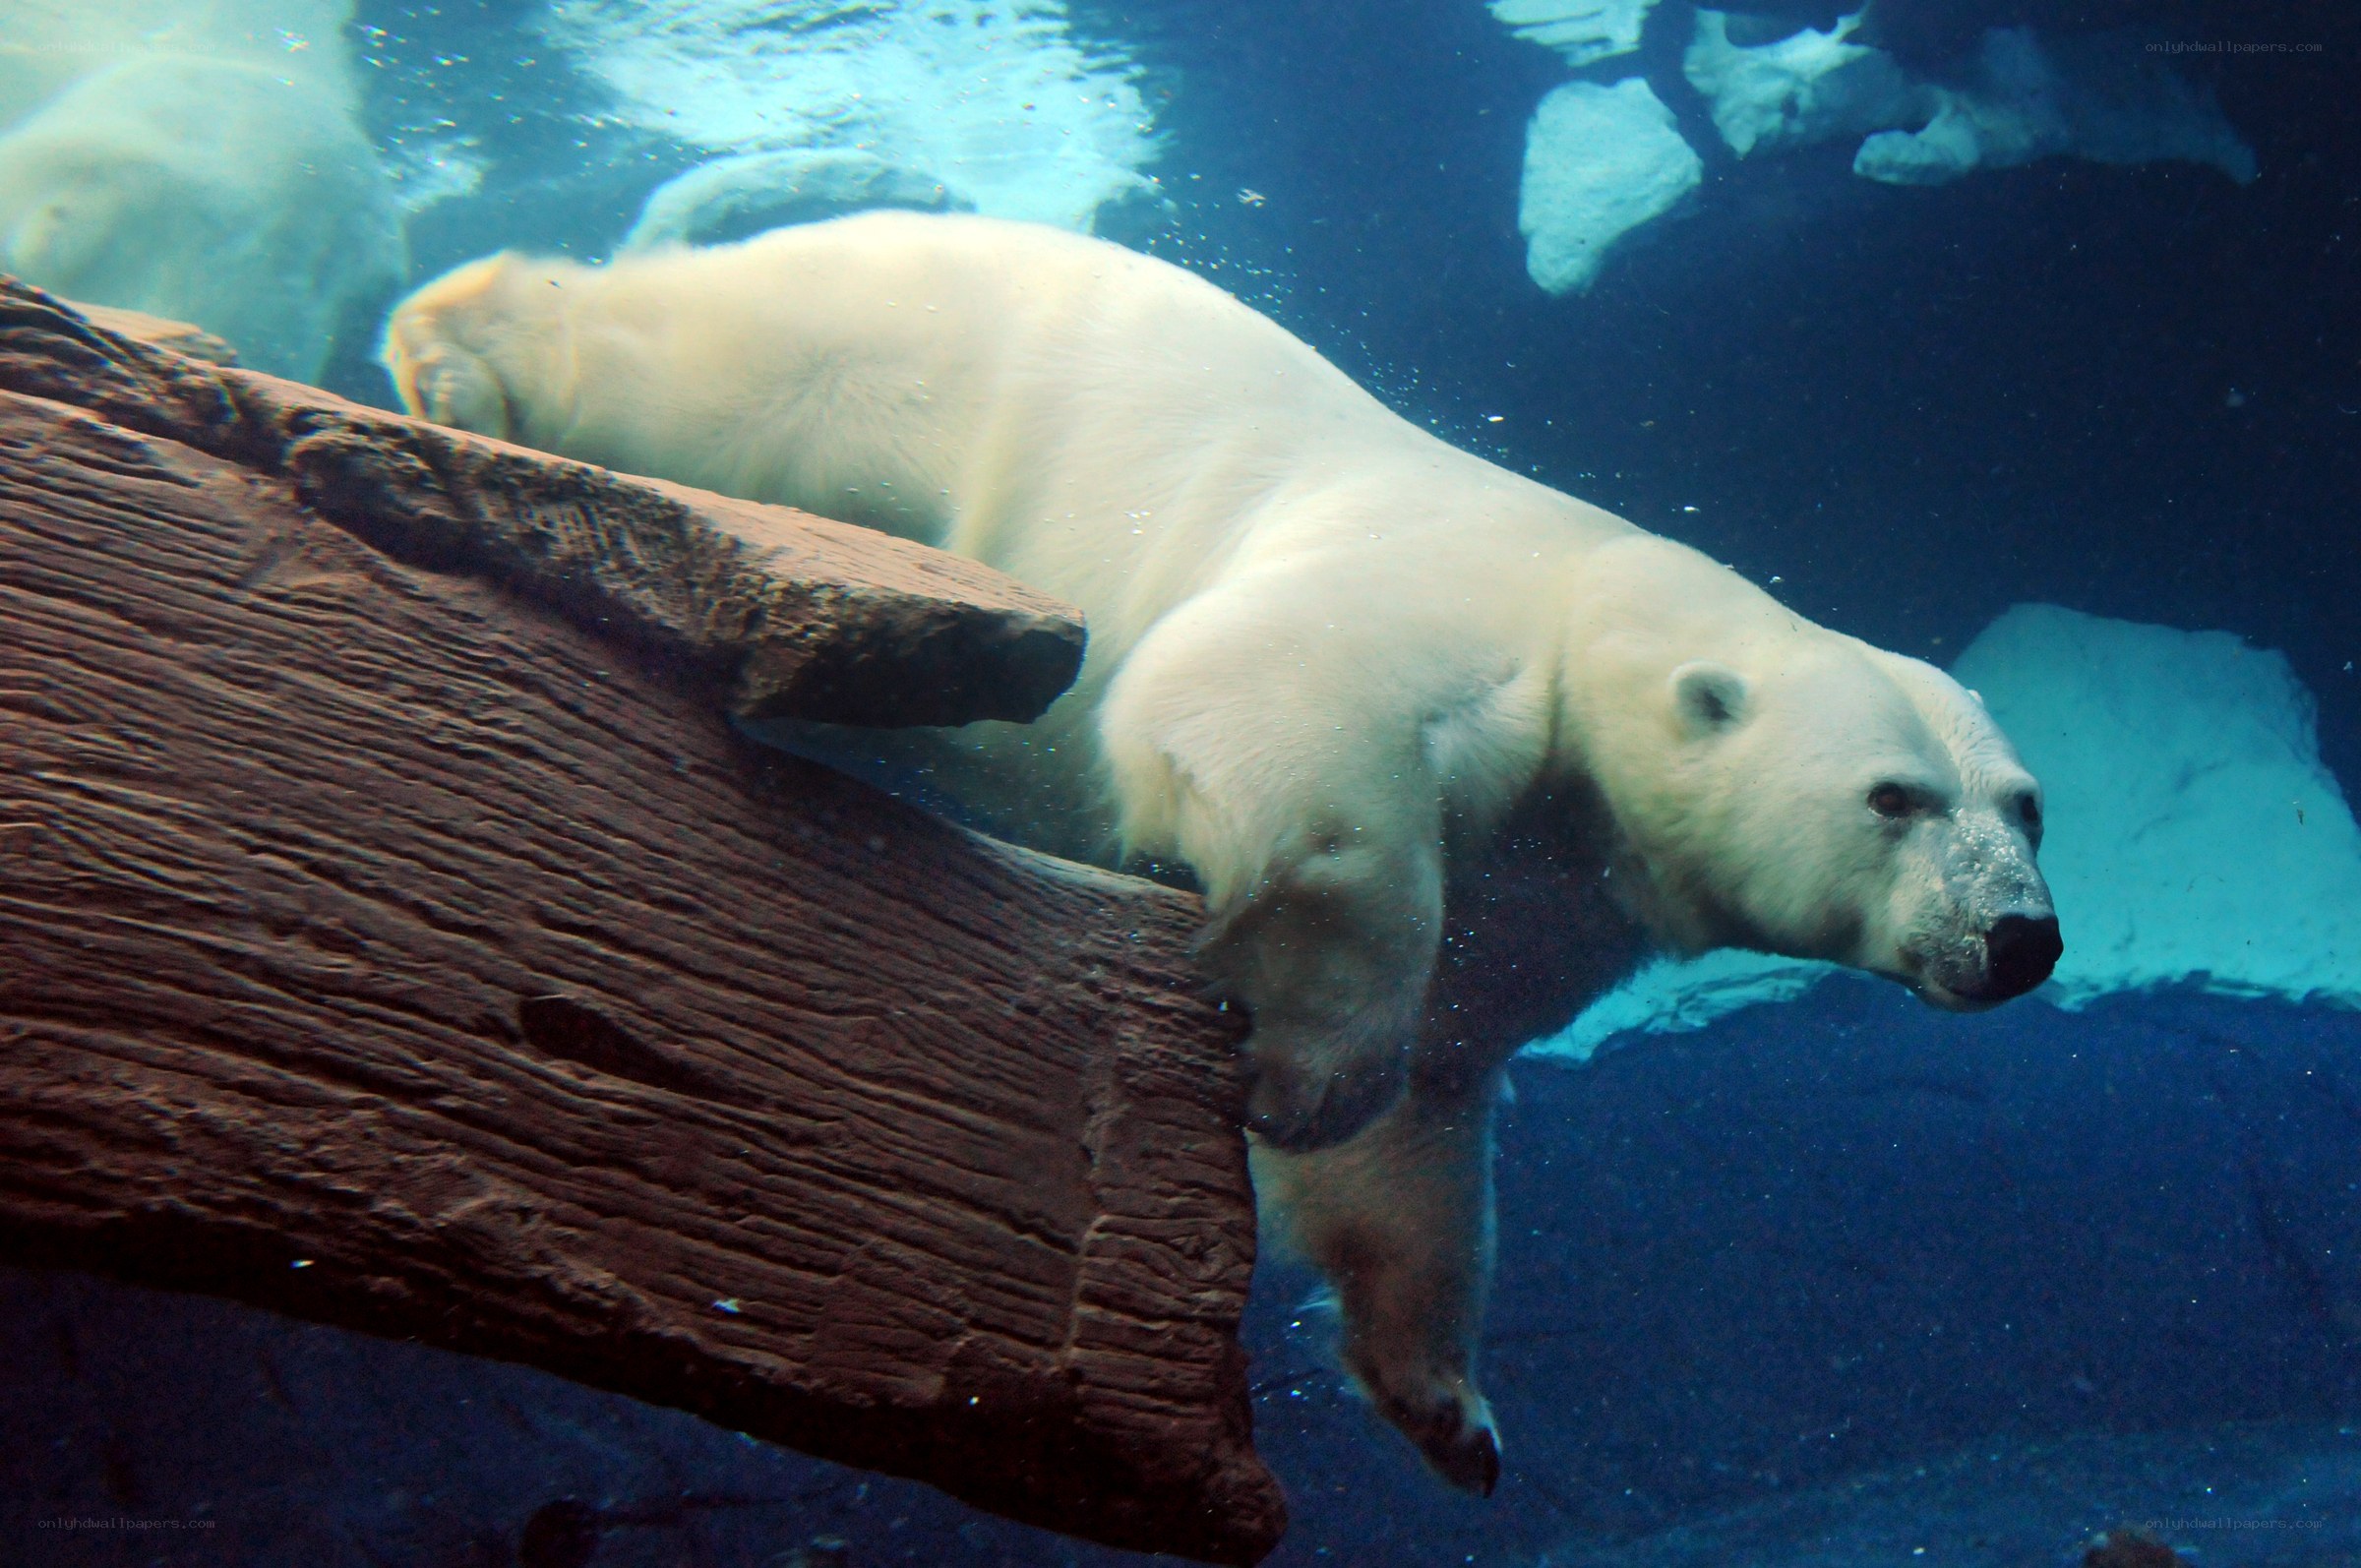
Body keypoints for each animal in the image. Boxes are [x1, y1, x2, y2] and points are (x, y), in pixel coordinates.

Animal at [380, 211, 2061, 1493]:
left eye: (2027, 805)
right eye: (1895, 797)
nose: (2022, 937)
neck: (1601, 615)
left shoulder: (1557, 892)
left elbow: (1434, 1115)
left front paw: (1451, 1408)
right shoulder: (1469, 616)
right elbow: (1266, 700)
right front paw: (1306, 1062)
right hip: (887, 351)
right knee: (681, 361)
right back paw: (456, 348)